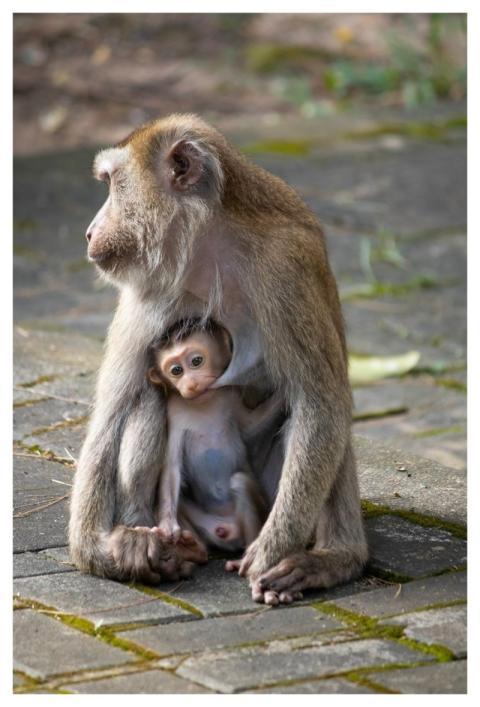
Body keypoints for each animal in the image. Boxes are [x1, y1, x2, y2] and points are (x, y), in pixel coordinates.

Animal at [146, 317, 275, 555]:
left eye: (196, 361)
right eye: (176, 371)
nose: (191, 384)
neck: (203, 403)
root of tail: (228, 531)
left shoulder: (231, 395)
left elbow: (254, 423)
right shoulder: (173, 412)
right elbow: (171, 468)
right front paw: (168, 524)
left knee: (240, 482)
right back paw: (194, 548)